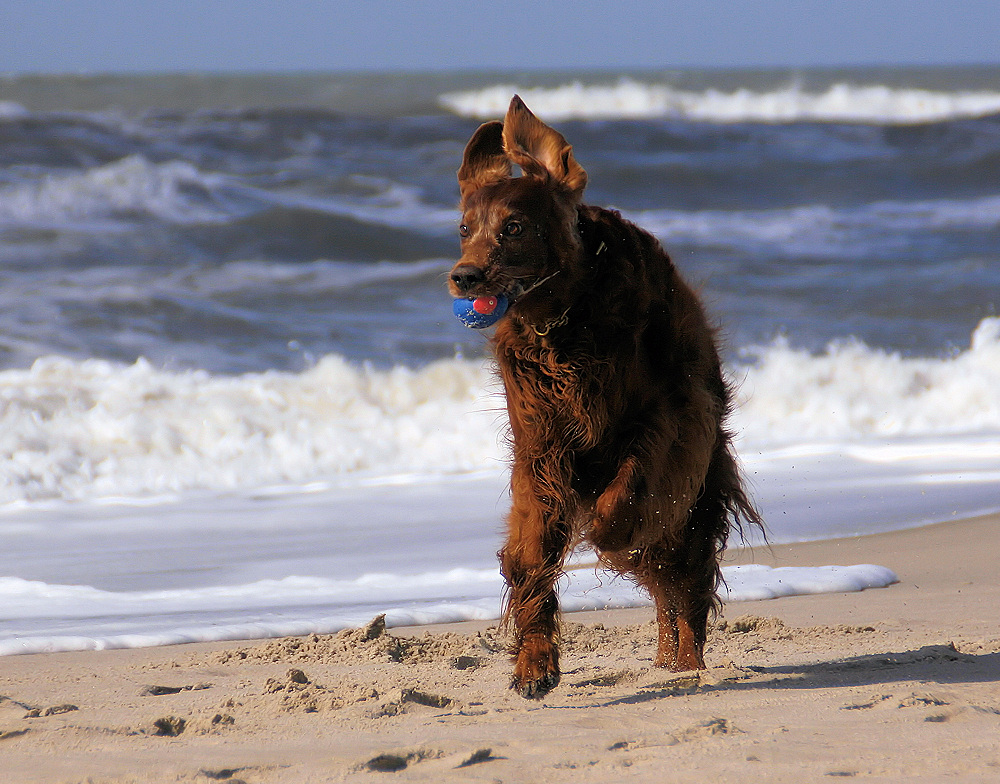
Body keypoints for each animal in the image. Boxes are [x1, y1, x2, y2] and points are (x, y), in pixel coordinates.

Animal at [450, 95, 760, 696]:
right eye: (464, 227)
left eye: (514, 227)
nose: (463, 276)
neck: (567, 322)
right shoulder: (541, 447)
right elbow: (530, 555)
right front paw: (535, 663)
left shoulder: (666, 420)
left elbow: (627, 494)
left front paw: (606, 530)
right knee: (664, 583)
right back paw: (666, 659)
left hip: (696, 492)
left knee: (682, 579)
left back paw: (685, 660)